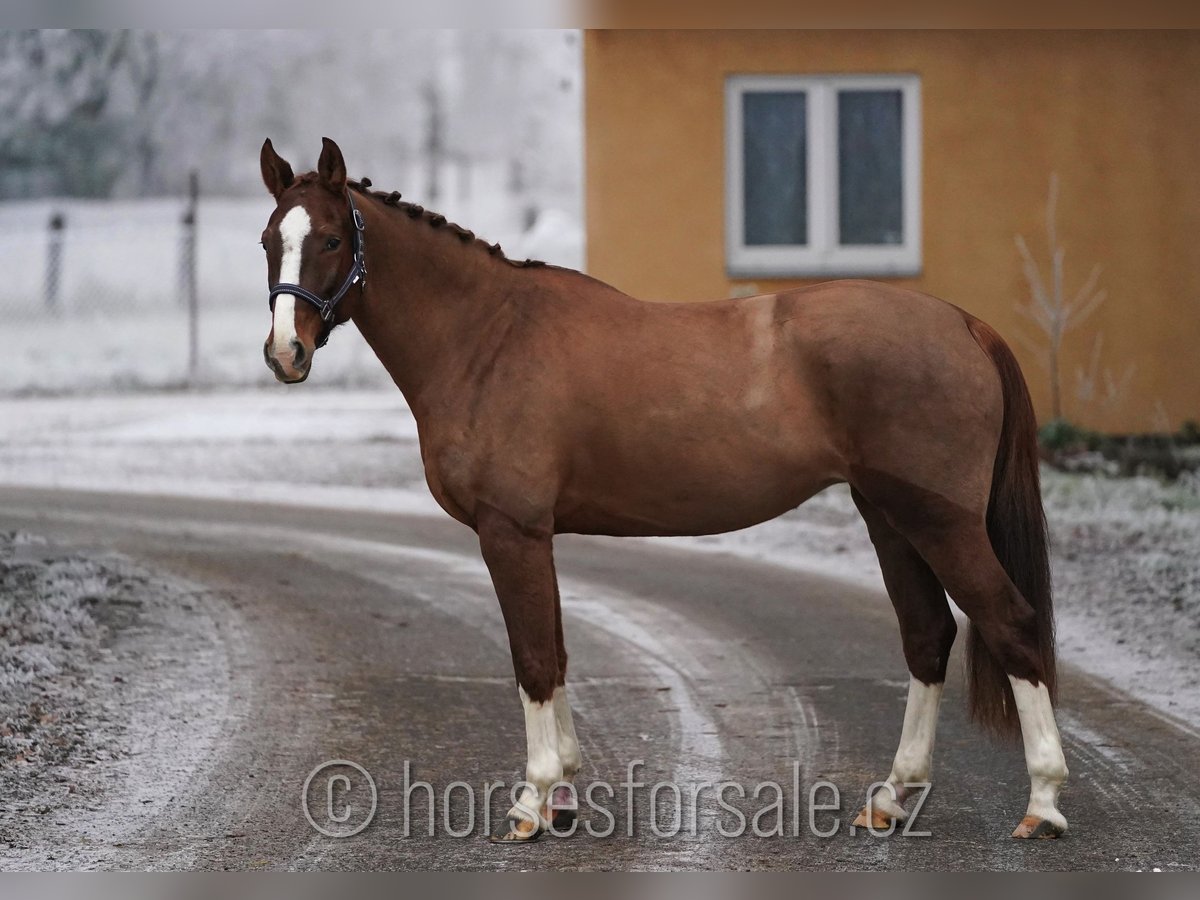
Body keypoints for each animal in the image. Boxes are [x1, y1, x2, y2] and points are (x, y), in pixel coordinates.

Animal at [258, 139, 1065, 844]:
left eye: (330, 239)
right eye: (271, 240)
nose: (285, 354)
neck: (488, 337)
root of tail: (962, 322)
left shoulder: (511, 531)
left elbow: (532, 659)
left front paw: (532, 803)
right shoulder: (536, 536)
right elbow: (556, 652)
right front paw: (563, 796)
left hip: (940, 522)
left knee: (1012, 624)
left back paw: (1043, 805)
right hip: (890, 517)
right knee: (928, 637)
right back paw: (892, 800)